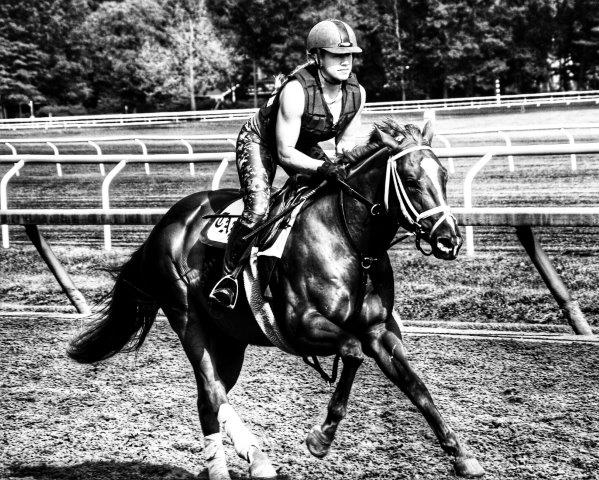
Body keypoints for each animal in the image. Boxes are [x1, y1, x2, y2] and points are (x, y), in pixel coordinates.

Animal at [68, 121, 486, 480]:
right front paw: (321, 438)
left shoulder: (378, 330)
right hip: (187, 316)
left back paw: (223, 469)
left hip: (230, 338)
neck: (349, 240)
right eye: (412, 182)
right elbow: (351, 352)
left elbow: (417, 387)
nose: (449, 239)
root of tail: (163, 224)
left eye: (444, 176)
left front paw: (462, 455)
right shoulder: (301, 325)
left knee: (208, 399)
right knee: (213, 389)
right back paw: (256, 458)